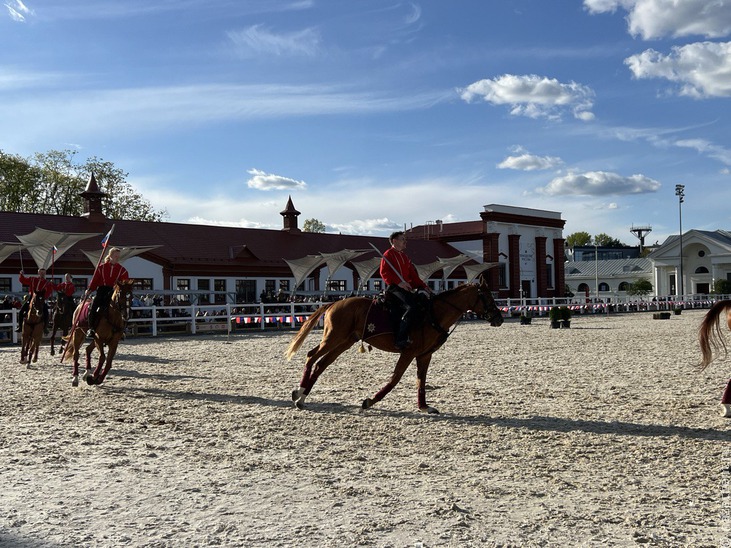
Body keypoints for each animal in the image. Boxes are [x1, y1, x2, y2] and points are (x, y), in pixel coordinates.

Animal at [286, 280, 504, 414]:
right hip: (333, 338)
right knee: (312, 356)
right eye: (487, 297)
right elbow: (394, 379)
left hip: (344, 342)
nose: (499, 318)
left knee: (321, 364)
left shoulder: (424, 356)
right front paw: (370, 401)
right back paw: (299, 393)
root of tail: (333, 304)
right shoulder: (408, 352)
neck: (432, 315)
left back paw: (302, 396)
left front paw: (424, 407)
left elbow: (421, 381)